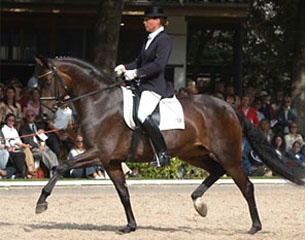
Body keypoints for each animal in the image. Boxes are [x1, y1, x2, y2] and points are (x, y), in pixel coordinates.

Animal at [33, 56, 304, 234]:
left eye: (46, 81)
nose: (44, 116)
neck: (99, 102)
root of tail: (229, 106)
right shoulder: (110, 161)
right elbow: (123, 194)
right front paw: (130, 226)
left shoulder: (99, 153)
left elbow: (60, 166)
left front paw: (41, 203)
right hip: (193, 154)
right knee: (217, 171)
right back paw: (198, 203)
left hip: (227, 154)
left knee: (245, 185)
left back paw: (254, 227)